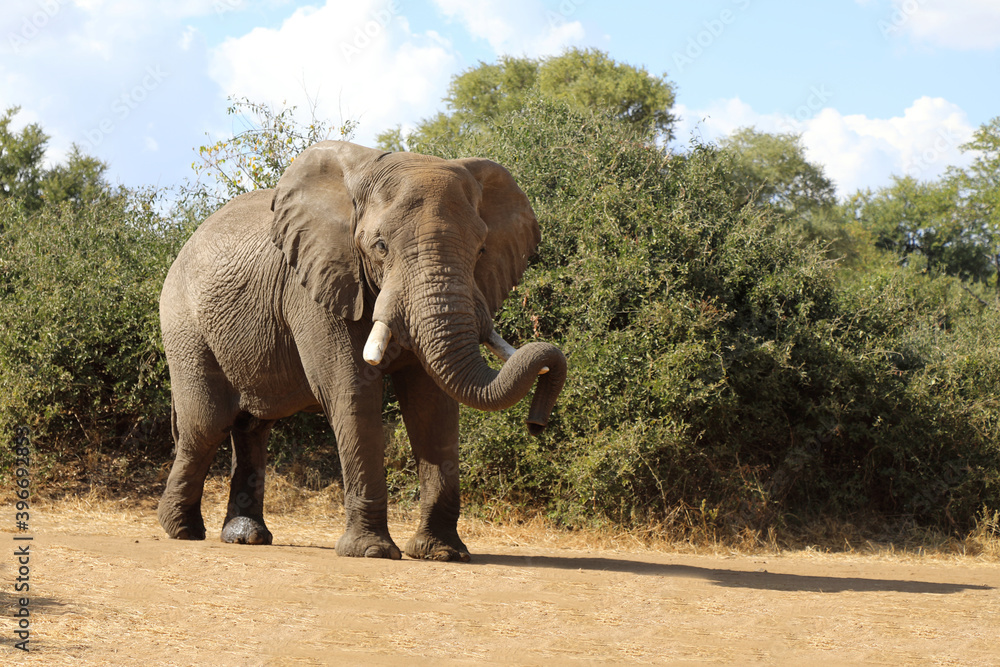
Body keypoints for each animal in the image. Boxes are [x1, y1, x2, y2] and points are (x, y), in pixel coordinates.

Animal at [156, 140, 567, 562]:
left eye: (482, 250)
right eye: (380, 247)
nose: (536, 424)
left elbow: (432, 404)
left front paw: (442, 554)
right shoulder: (316, 287)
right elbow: (353, 390)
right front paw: (370, 552)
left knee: (251, 425)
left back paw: (245, 536)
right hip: (184, 325)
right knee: (207, 424)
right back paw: (183, 530)